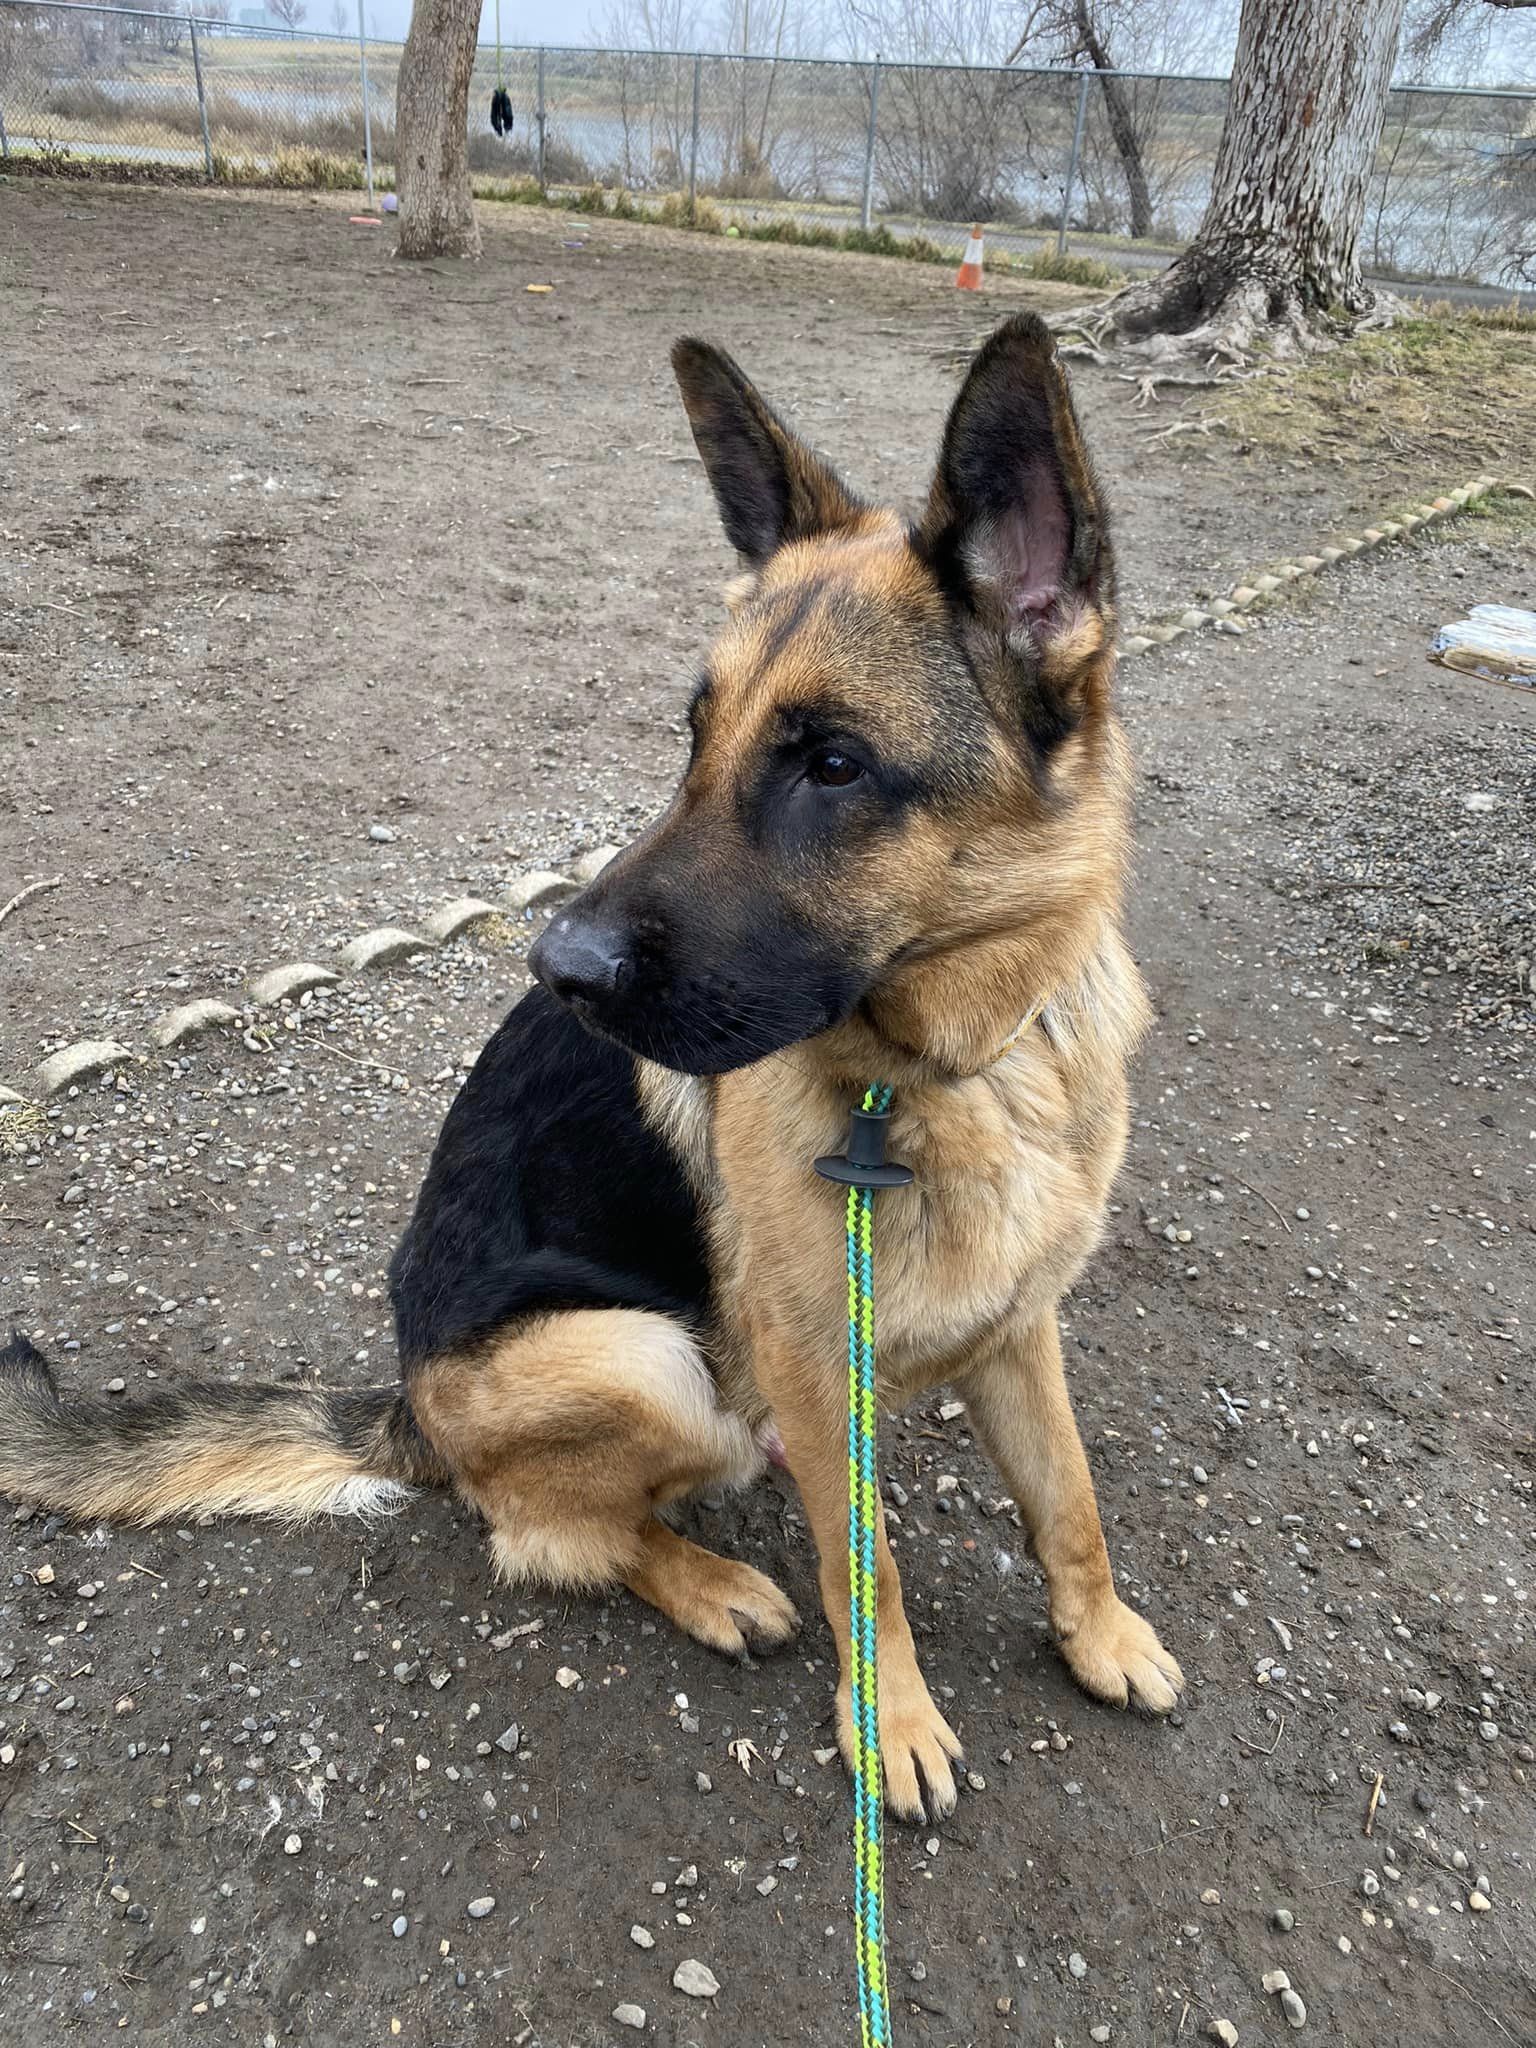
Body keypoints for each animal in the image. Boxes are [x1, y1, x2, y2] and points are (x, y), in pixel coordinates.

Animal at [0, 315, 1187, 1826]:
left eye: (833, 764)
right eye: (696, 734)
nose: (552, 967)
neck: (969, 1059)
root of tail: (408, 1410)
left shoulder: (1024, 1325)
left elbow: (1069, 1498)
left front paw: (1101, 1634)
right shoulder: (815, 1372)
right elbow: (867, 1565)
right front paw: (895, 1724)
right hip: (646, 1356)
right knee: (547, 1529)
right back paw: (712, 1582)